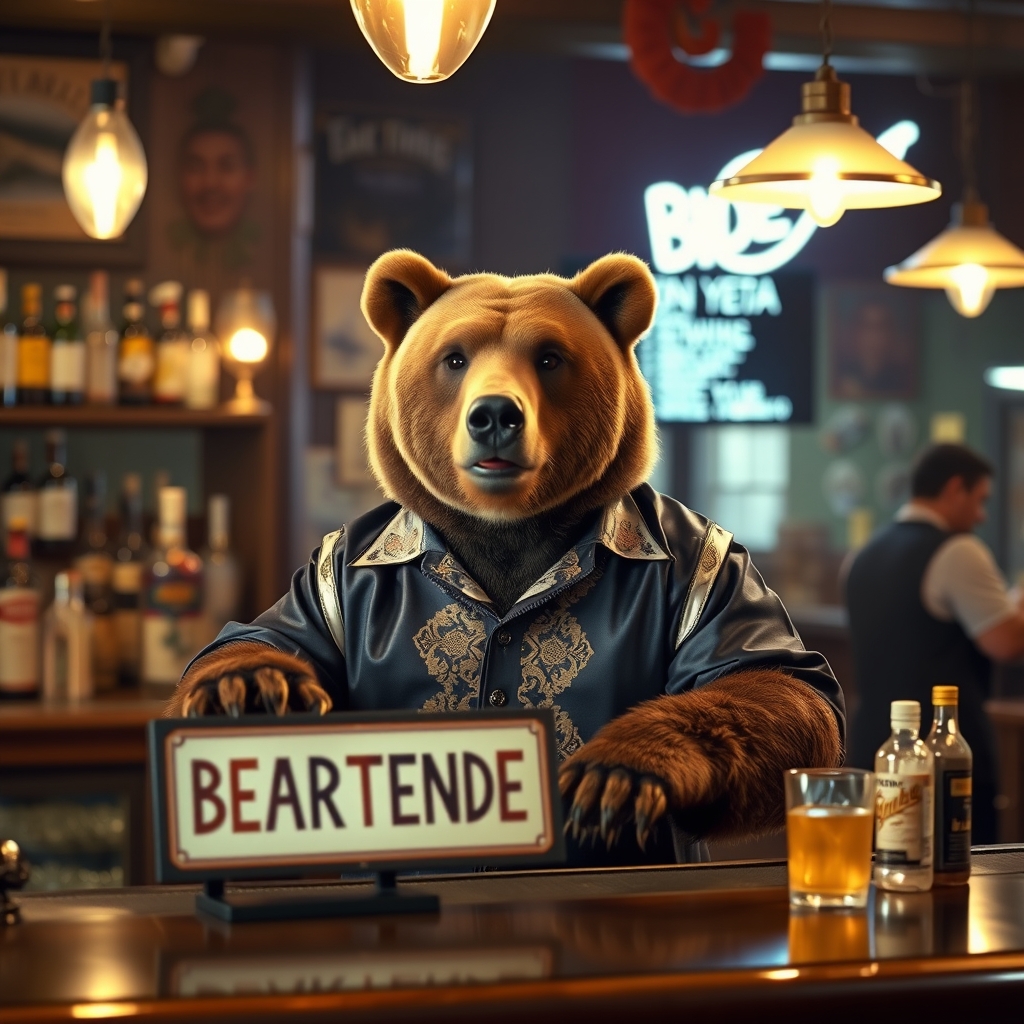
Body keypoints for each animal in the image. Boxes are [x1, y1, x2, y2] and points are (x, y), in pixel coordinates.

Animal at [167, 247, 839, 864]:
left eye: (549, 357)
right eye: (455, 357)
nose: (494, 414)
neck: (507, 530)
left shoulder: (703, 562)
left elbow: (775, 684)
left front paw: (617, 775)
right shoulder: (335, 570)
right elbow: (267, 635)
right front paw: (252, 684)